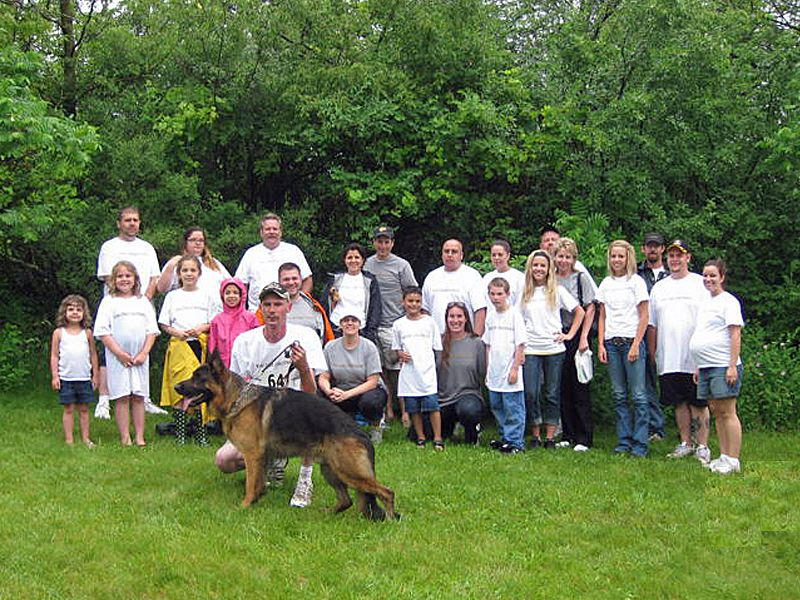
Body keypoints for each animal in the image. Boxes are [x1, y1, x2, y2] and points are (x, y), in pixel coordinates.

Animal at [177, 352, 398, 520]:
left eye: (198, 378)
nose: (176, 387)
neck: (235, 398)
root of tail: (362, 433)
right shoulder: (261, 457)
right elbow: (258, 483)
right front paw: (257, 500)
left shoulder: (252, 456)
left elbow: (250, 484)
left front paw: (245, 506)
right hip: (331, 470)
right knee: (347, 500)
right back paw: (326, 513)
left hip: (349, 471)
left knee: (387, 492)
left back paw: (390, 519)